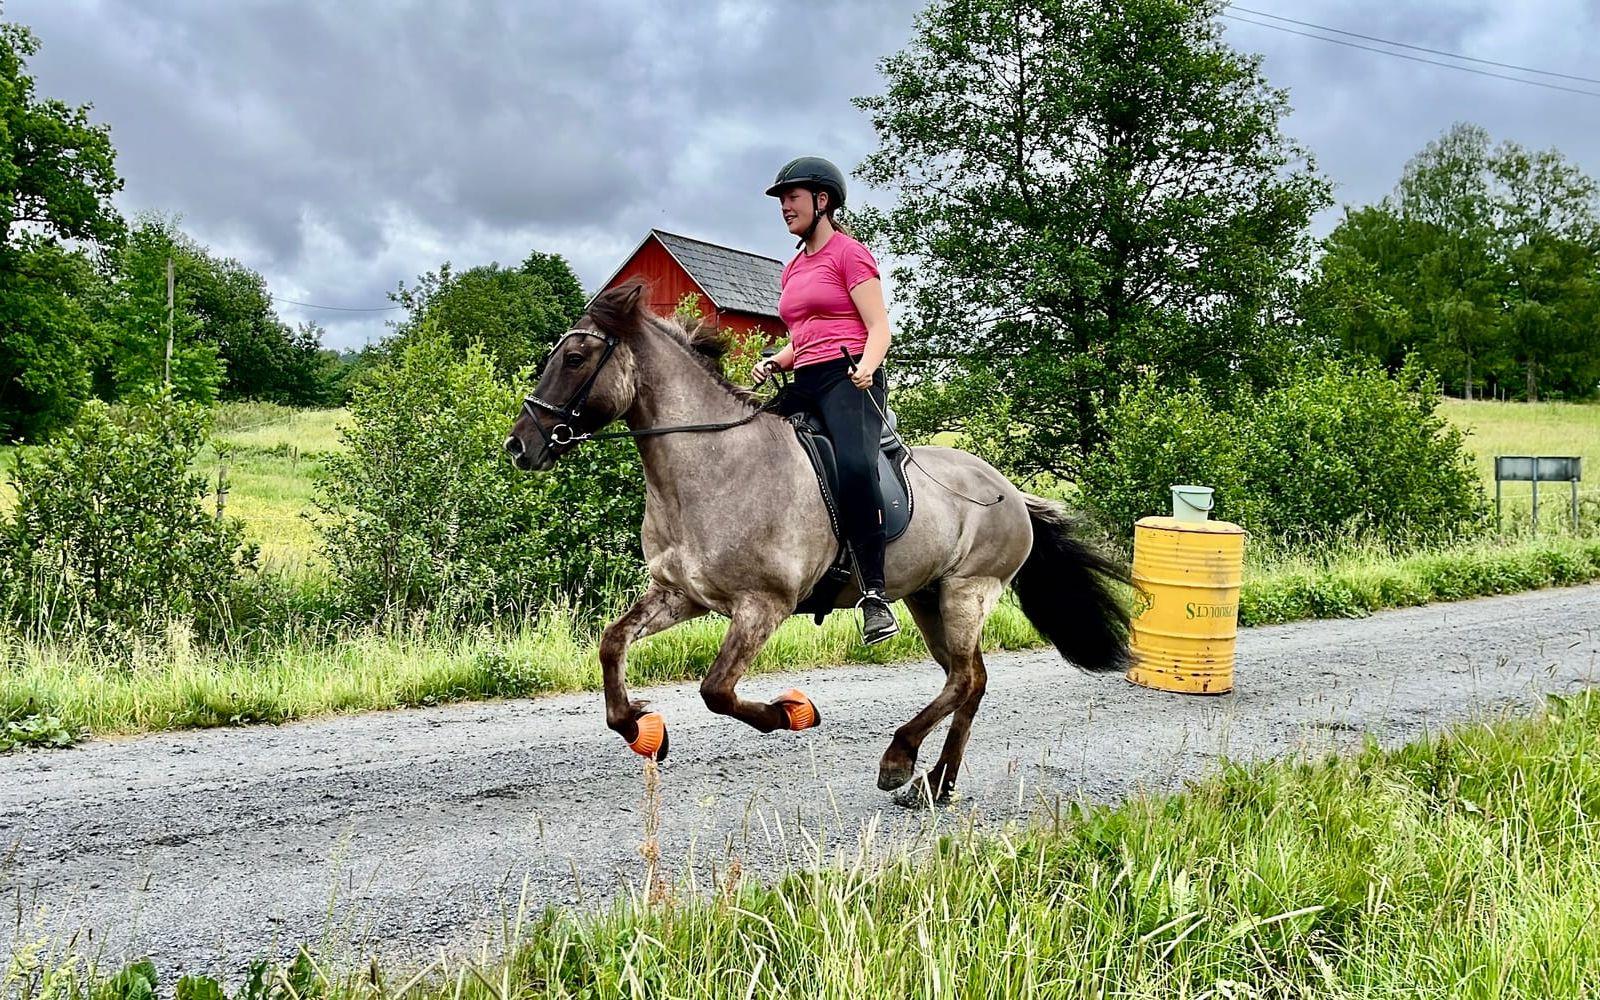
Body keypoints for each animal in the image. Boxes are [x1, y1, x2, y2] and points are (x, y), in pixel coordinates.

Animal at [505, 278, 1132, 803]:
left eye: (575, 358)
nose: (518, 447)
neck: (712, 465)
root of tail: (1011, 491)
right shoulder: (681, 595)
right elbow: (612, 644)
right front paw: (640, 726)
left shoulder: (762, 605)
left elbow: (716, 691)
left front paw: (791, 713)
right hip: (929, 598)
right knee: (969, 681)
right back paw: (936, 783)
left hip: (967, 592)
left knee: (963, 679)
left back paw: (900, 760)